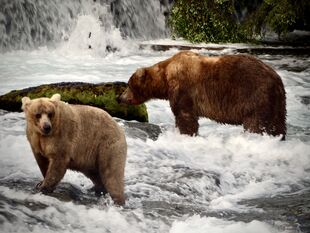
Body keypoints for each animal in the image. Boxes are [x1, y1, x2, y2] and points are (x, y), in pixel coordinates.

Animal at [118, 51, 286, 138]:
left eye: (128, 85)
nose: (119, 98)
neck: (165, 77)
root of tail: (276, 78)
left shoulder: (183, 89)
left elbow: (185, 115)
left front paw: (186, 134)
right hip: (277, 102)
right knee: (277, 124)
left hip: (255, 96)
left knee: (256, 123)